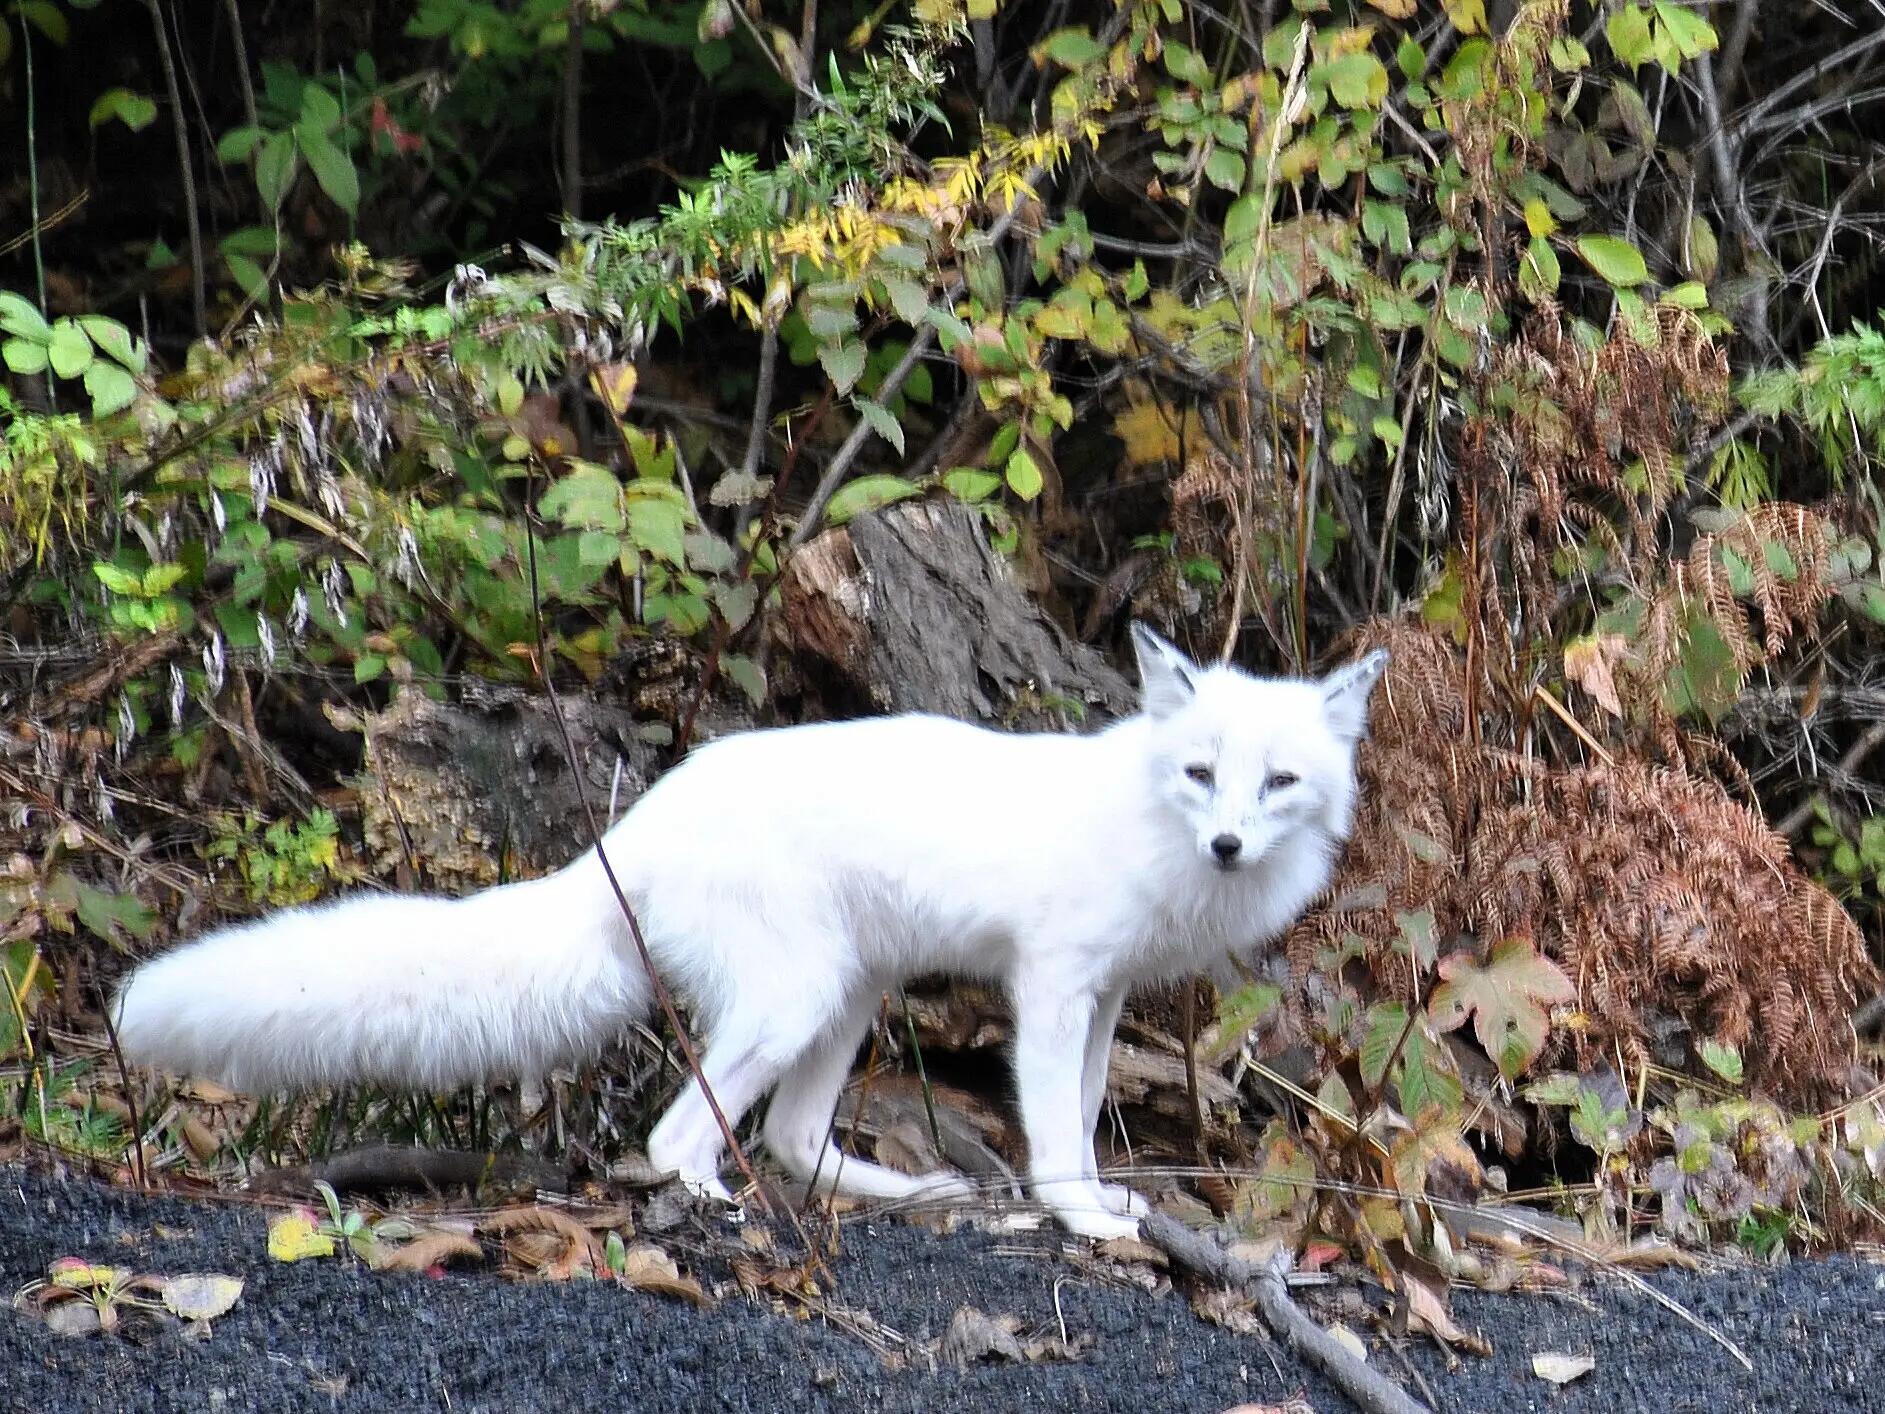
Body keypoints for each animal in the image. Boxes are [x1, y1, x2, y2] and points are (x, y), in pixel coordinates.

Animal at [117, 629, 1387, 1236]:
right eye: (1200, 773)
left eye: (1277, 782)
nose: (1228, 843)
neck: (1148, 828)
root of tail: (631, 830)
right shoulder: (1053, 985)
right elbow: (1054, 1132)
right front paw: (1079, 1217)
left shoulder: (1108, 995)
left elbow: (1077, 1113)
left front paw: (1098, 1205)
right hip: (794, 999)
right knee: (680, 1134)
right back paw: (712, 1203)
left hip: (847, 996)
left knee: (789, 1135)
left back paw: (906, 1193)